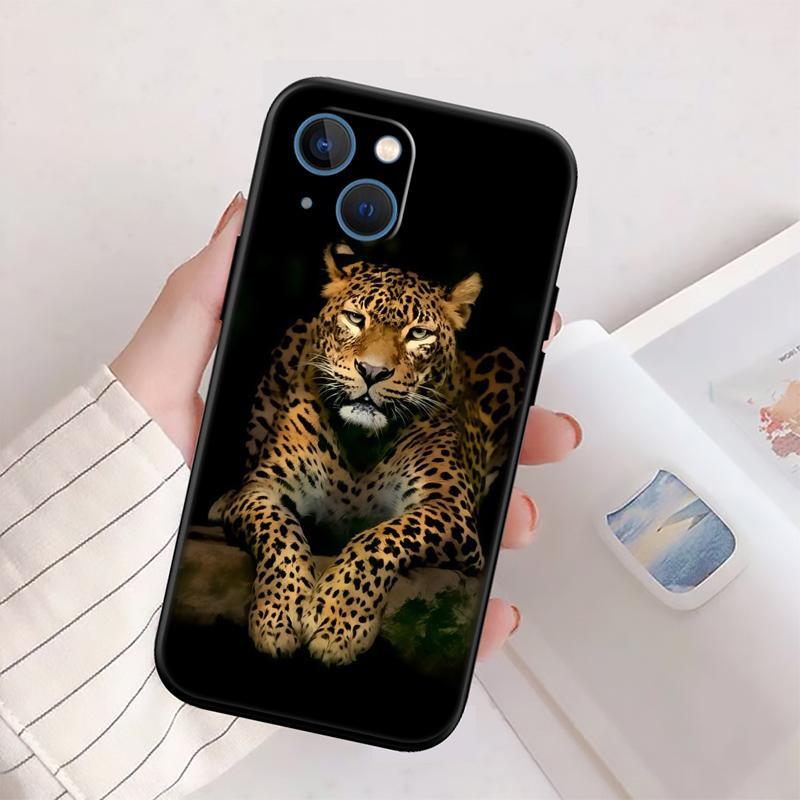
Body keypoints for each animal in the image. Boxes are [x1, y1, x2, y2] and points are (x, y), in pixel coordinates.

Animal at [213, 243, 524, 666]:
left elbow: (380, 538)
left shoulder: (448, 509)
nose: (372, 372)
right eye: (355, 319)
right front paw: (279, 615)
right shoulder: (264, 489)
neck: (360, 441)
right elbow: (279, 534)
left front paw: (337, 623)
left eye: (419, 334)